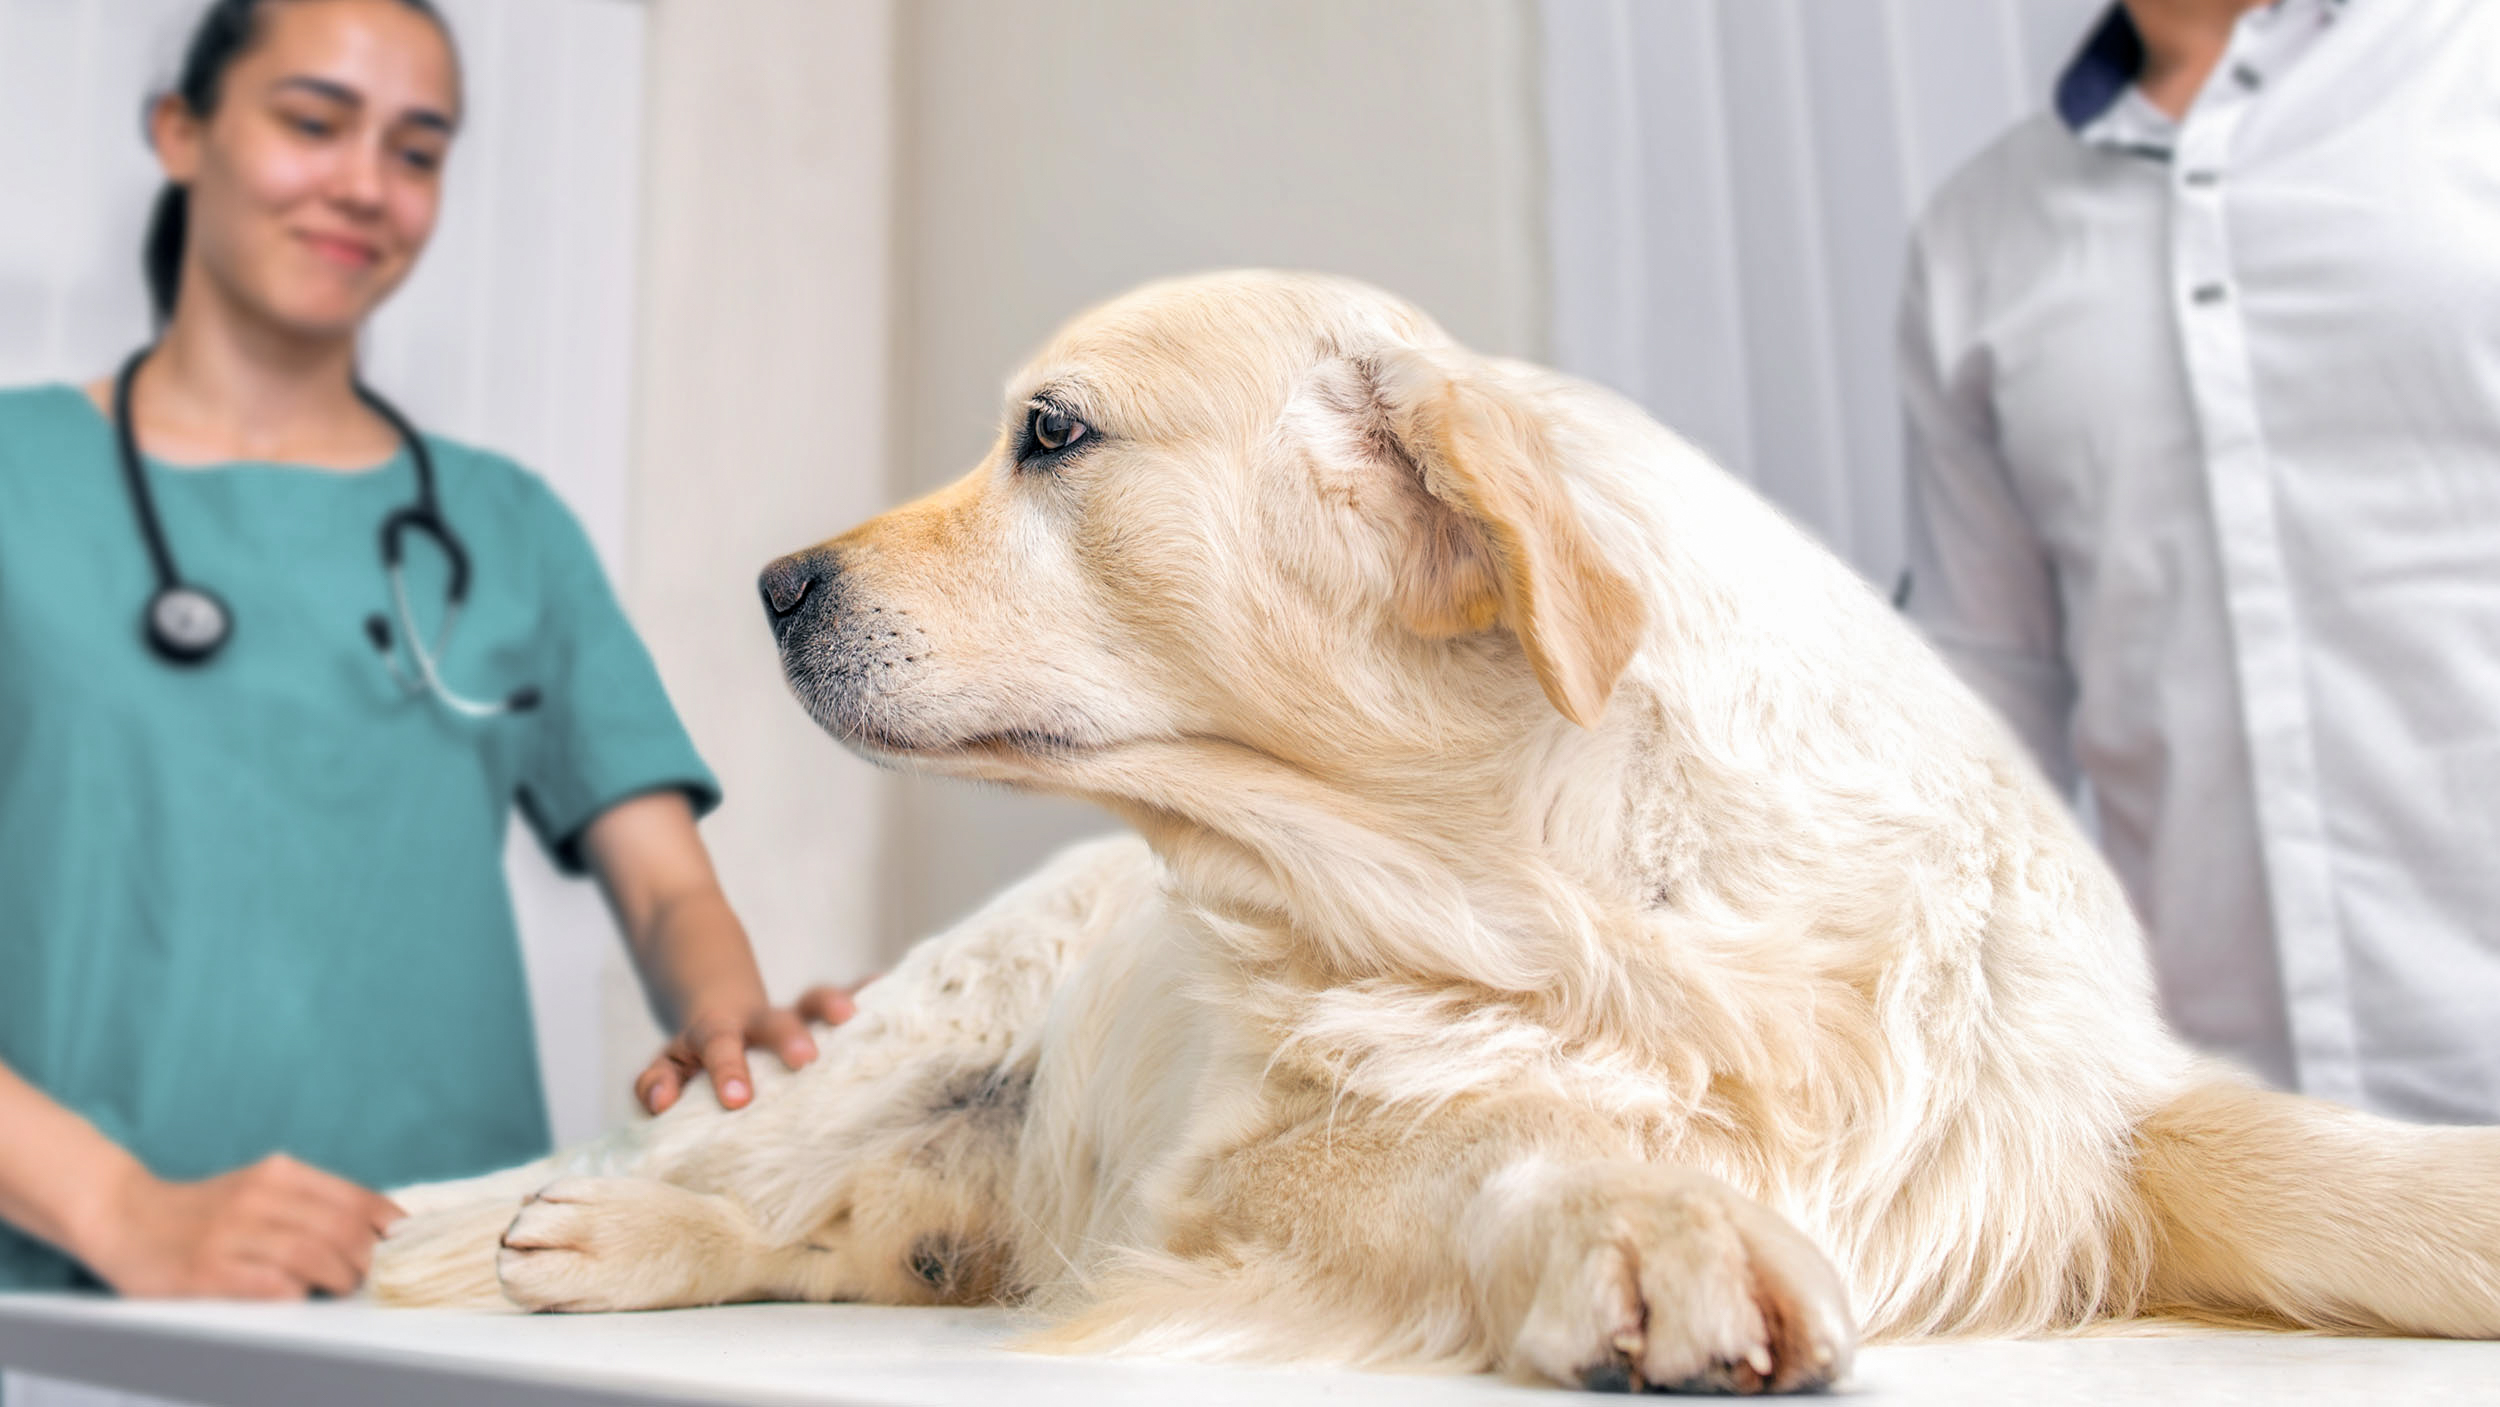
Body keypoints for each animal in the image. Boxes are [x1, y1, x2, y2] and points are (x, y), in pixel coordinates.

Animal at [370, 269, 2500, 1389]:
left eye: (1051, 436)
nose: (773, 586)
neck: (1592, 894)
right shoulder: (1266, 1156)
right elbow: (1492, 1127)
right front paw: (1650, 1218)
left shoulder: (2051, 1102)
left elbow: (2321, 1165)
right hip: (929, 1020)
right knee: (728, 1163)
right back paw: (556, 1230)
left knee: (851, 1215)